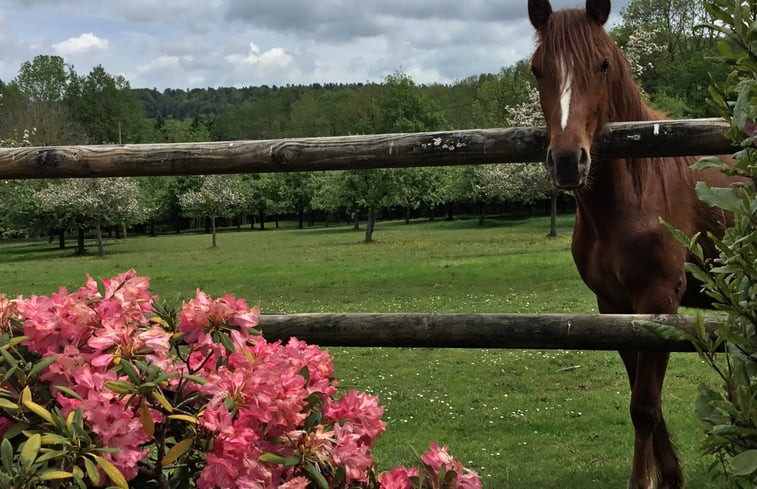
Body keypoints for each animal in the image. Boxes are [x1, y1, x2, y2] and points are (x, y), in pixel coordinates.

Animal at [528, 0, 736, 488]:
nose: (567, 161)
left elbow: (643, 406)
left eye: (602, 64)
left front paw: (644, 480)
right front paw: (671, 474)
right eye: (536, 70)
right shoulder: (614, 306)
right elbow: (643, 399)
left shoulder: (659, 302)